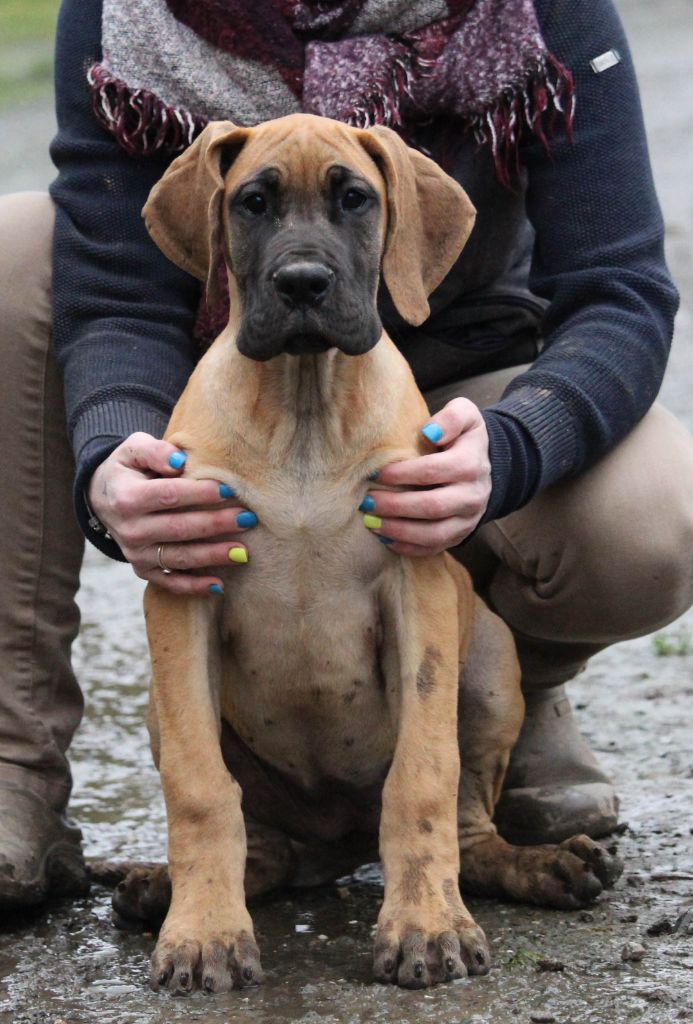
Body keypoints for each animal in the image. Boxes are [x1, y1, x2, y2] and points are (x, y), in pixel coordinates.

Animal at [117, 112, 622, 991]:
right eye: (252, 203)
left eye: (354, 200)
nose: (302, 285)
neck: (303, 399)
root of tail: (335, 841)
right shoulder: (182, 586)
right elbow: (199, 787)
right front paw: (203, 933)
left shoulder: (416, 586)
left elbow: (420, 777)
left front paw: (425, 928)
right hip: (163, 701)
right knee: (263, 838)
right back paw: (165, 887)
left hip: (488, 663)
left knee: (466, 829)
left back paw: (547, 865)